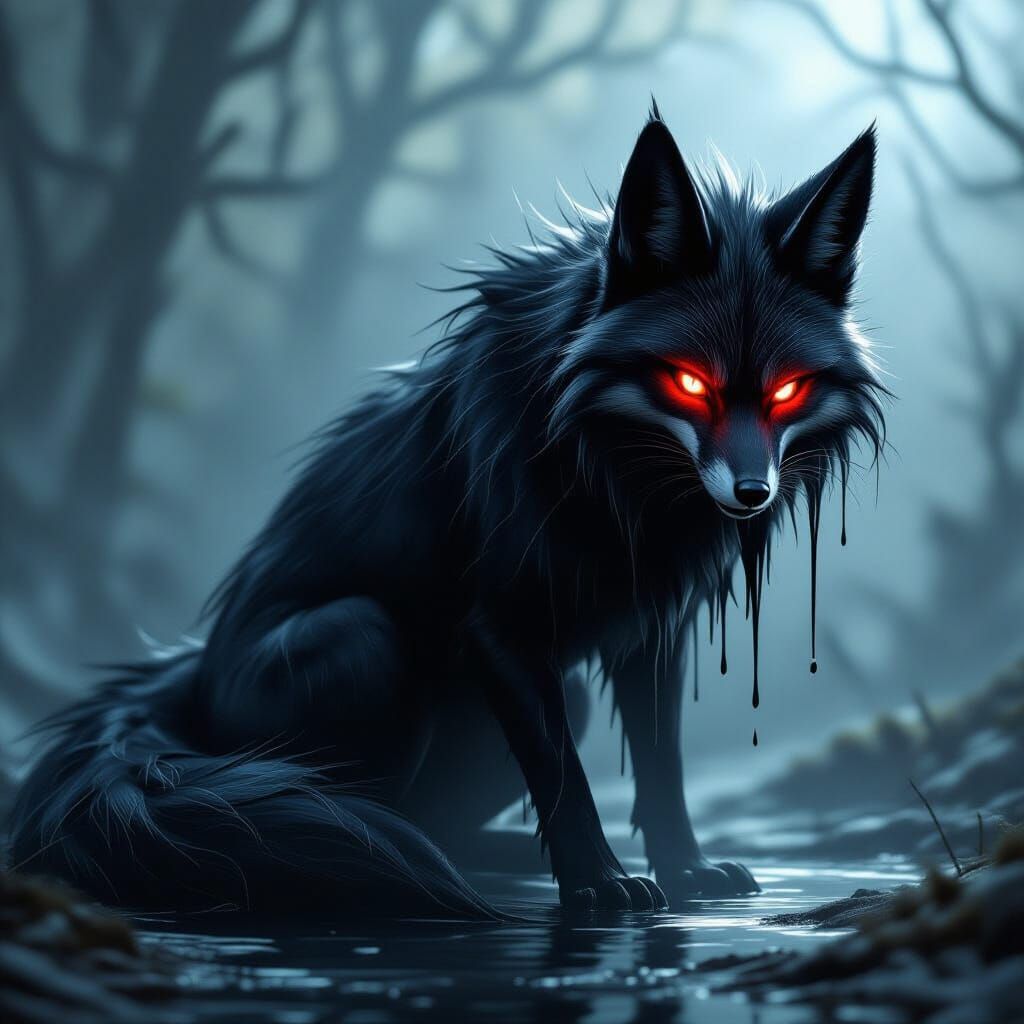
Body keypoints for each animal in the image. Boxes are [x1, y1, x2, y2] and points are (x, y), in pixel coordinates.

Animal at [9, 106, 885, 917]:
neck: (620, 485)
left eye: (787, 391)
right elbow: (562, 777)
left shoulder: (652, 626)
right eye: (690, 383)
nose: (751, 493)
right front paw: (599, 884)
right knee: (340, 800)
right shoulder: (501, 626)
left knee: (439, 821)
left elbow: (661, 766)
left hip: (561, 692)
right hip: (361, 641)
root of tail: (188, 675)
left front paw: (684, 871)